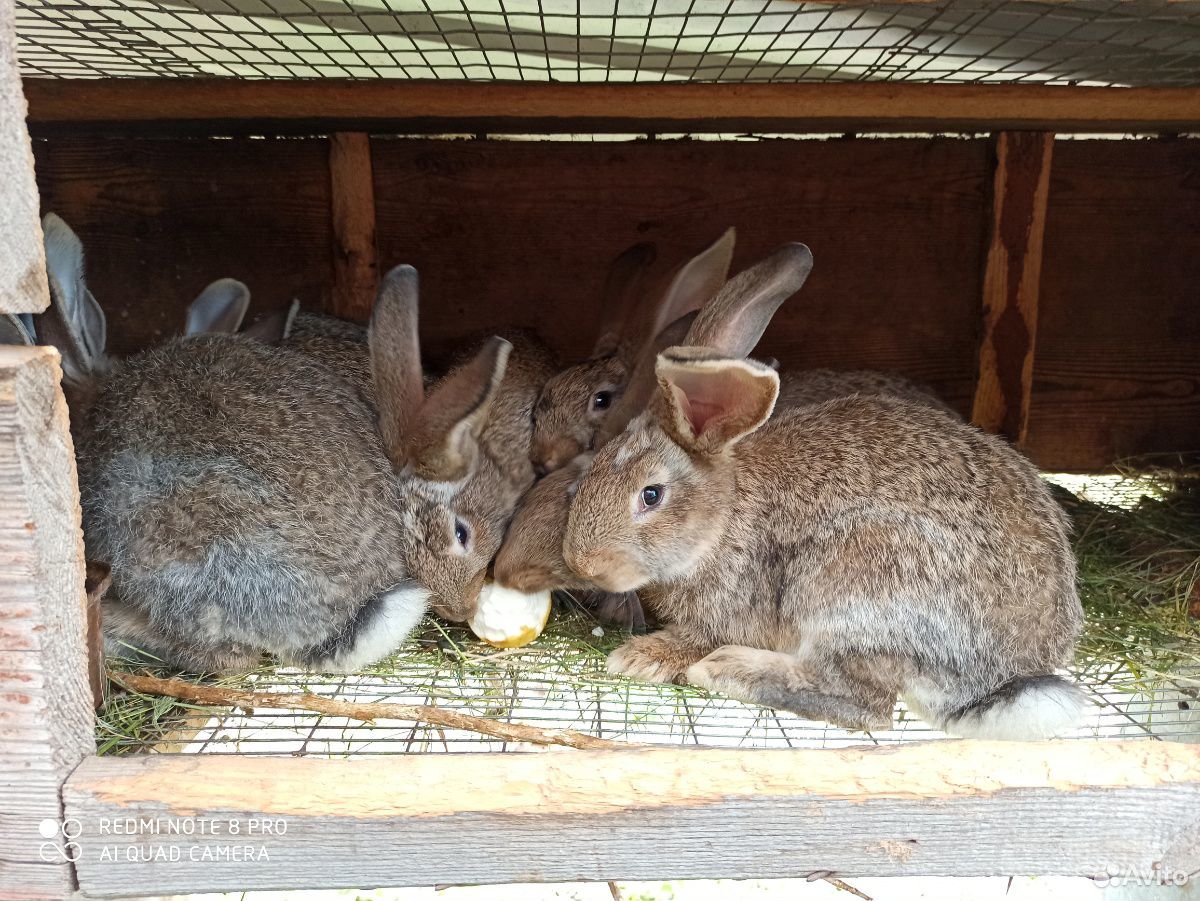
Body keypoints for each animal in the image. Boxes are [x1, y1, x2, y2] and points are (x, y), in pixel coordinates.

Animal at [561, 243, 1089, 743]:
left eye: (650, 496)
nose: (583, 564)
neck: (722, 517)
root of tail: (1005, 675)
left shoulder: (730, 604)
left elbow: (696, 637)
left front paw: (641, 657)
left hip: (855, 586)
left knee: (866, 704)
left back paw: (728, 669)